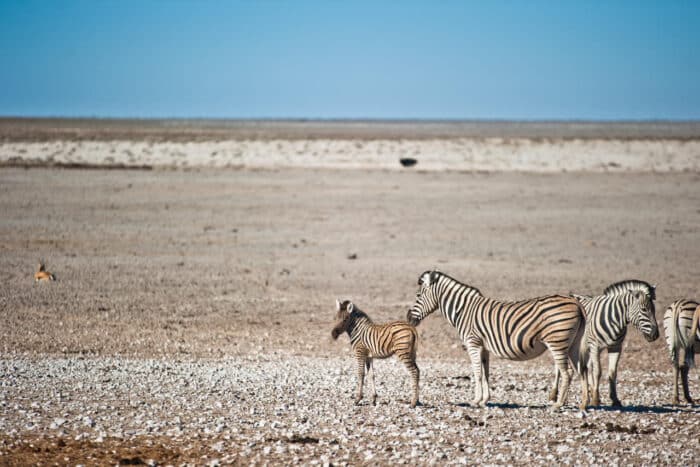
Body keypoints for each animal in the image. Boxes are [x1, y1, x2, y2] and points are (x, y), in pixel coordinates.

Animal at [404, 270, 584, 410]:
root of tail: (576, 303)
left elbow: (477, 373)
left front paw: (475, 400)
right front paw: (484, 400)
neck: (463, 310)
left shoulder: (473, 343)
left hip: (557, 341)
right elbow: (485, 373)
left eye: (418, 295)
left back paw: (558, 404)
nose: (408, 318)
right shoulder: (484, 347)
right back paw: (582, 403)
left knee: (567, 372)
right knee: (580, 369)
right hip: (573, 343)